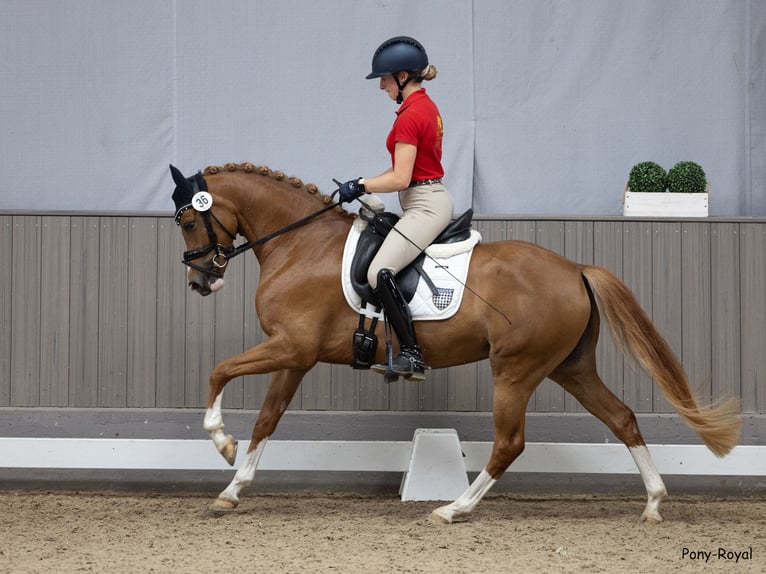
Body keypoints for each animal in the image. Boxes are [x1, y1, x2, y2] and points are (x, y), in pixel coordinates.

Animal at [171, 162, 740, 528]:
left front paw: (221, 443)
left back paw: (453, 509)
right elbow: (267, 420)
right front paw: (231, 490)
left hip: (515, 369)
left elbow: (219, 371)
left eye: (189, 219)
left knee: (510, 442)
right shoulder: (294, 356)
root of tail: (575, 268)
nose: (200, 281)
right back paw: (654, 502)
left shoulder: (292, 348)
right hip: (570, 367)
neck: (300, 244)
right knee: (621, 417)